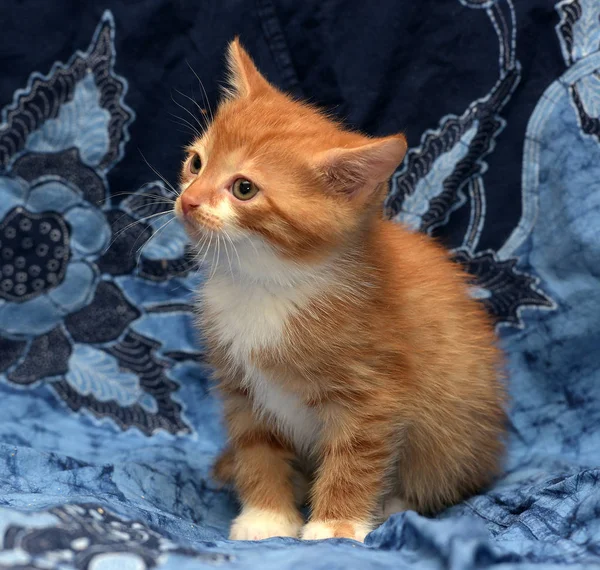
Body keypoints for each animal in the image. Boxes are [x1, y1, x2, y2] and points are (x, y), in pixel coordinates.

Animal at [175, 40, 506, 540]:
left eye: (244, 188)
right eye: (197, 163)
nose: (188, 201)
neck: (266, 283)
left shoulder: (372, 392)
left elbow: (355, 457)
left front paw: (334, 525)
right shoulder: (240, 385)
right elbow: (258, 447)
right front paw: (266, 515)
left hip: (458, 432)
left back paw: (394, 504)